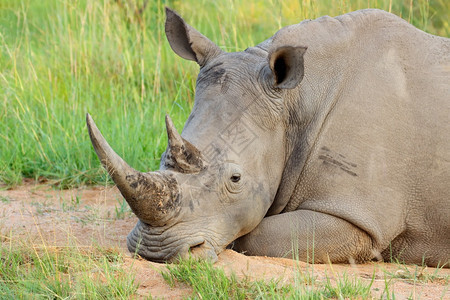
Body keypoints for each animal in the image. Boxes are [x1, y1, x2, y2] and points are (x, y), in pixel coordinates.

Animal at [86, 8, 448, 266]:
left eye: (236, 179)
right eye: (161, 158)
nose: (155, 251)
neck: (294, 100)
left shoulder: (359, 217)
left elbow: (255, 237)